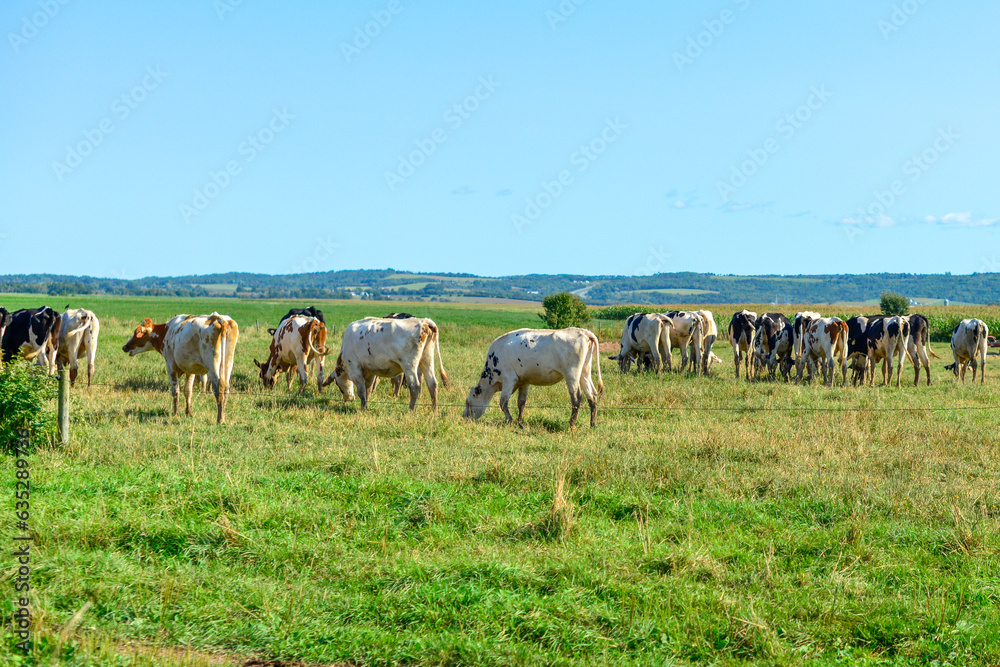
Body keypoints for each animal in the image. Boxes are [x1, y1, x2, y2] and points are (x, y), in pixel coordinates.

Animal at [463, 327, 603, 428]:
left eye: (468, 402)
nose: (464, 418)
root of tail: (583, 331)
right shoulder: (524, 381)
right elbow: (521, 402)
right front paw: (520, 422)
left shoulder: (509, 379)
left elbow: (503, 402)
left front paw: (510, 421)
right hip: (585, 372)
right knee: (592, 395)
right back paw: (593, 424)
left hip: (572, 374)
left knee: (577, 397)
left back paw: (572, 424)